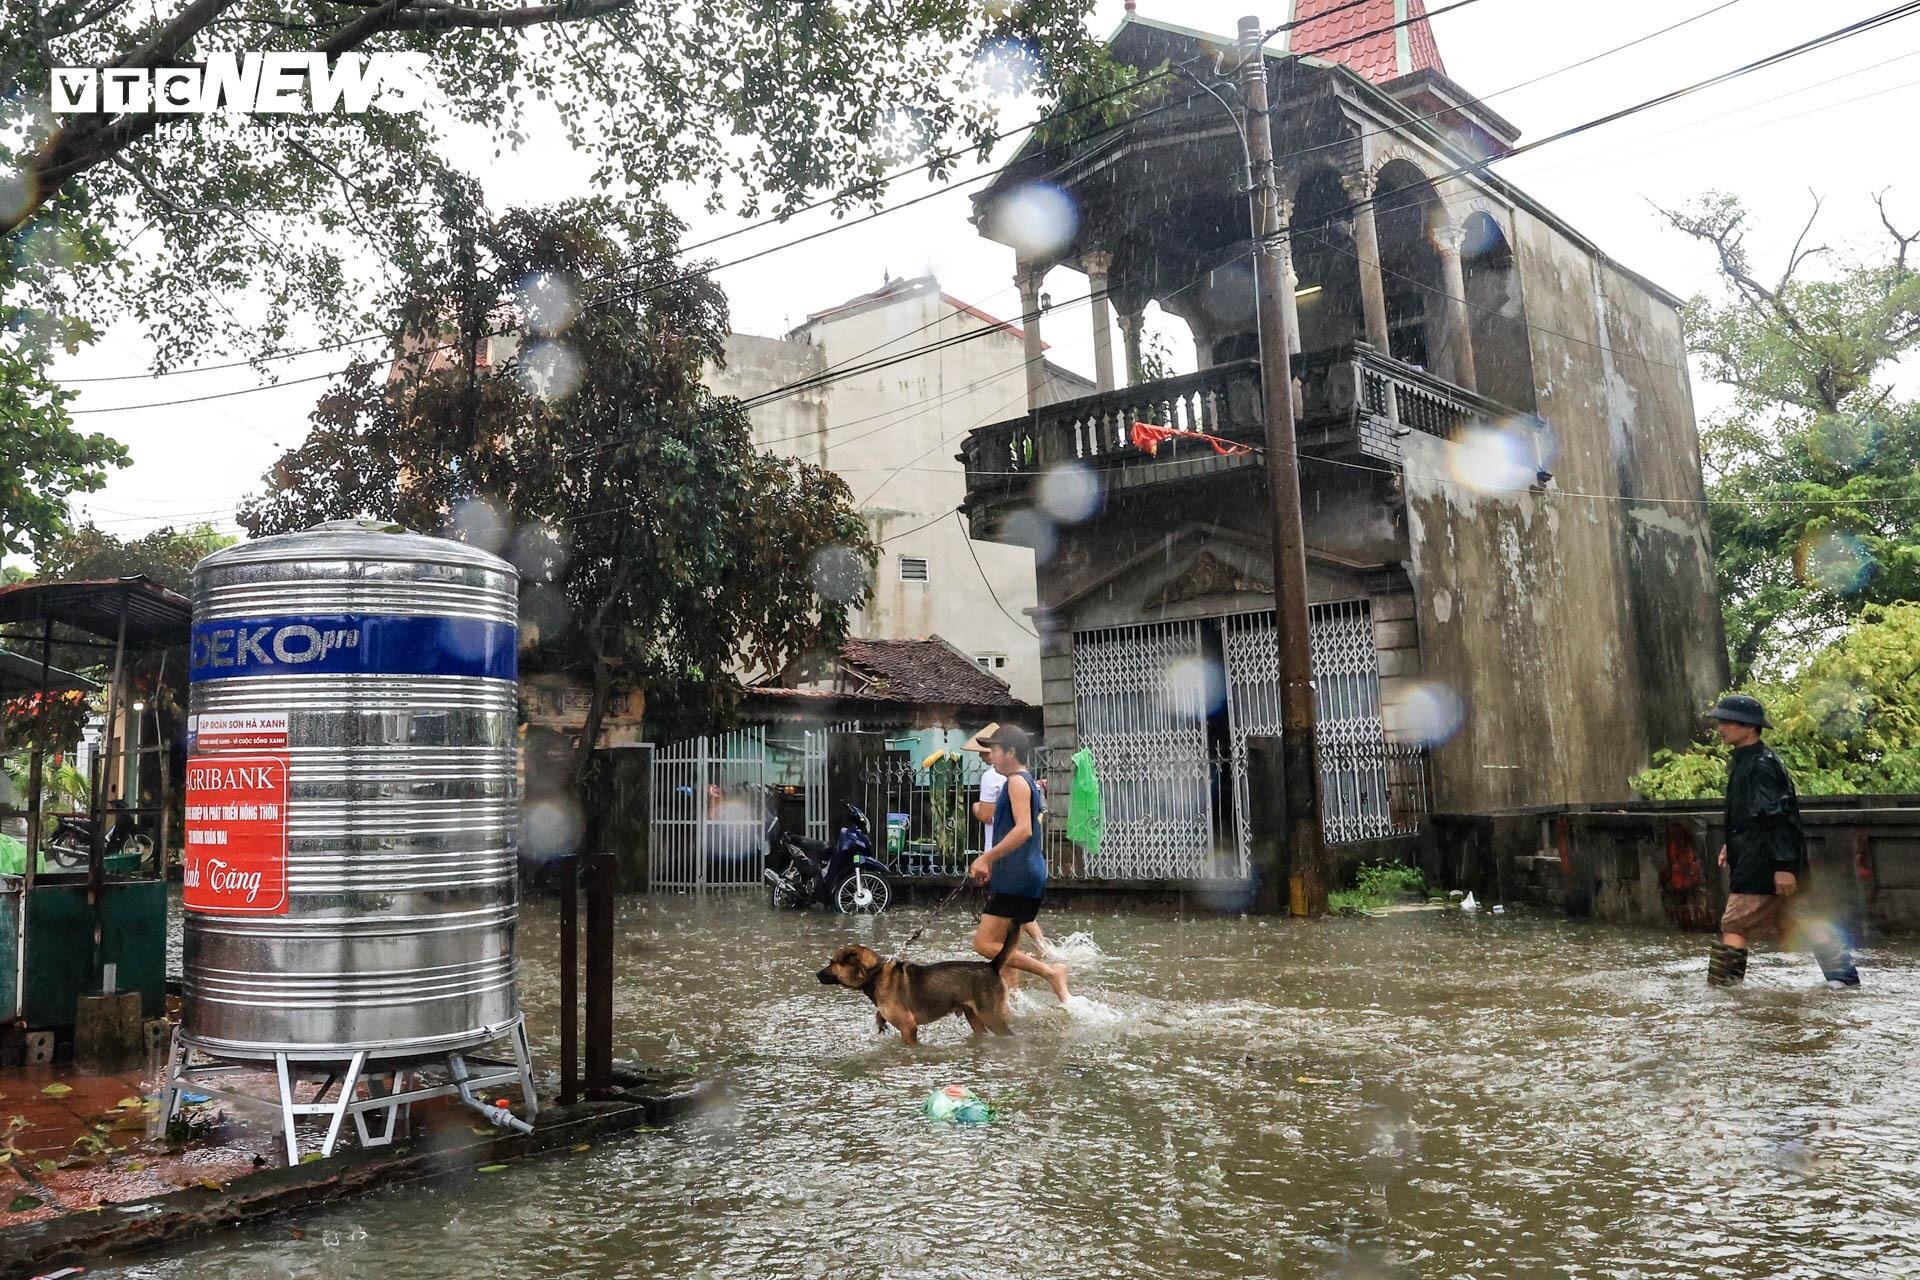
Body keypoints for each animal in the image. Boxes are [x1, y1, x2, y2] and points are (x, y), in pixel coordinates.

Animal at [814, 936, 1021, 1043]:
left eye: (832, 962)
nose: (816, 974)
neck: (875, 973)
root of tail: (991, 966)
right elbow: (879, 1015)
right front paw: (880, 1024)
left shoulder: (908, 1027)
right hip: (974, 1018)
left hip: (991, 1016)